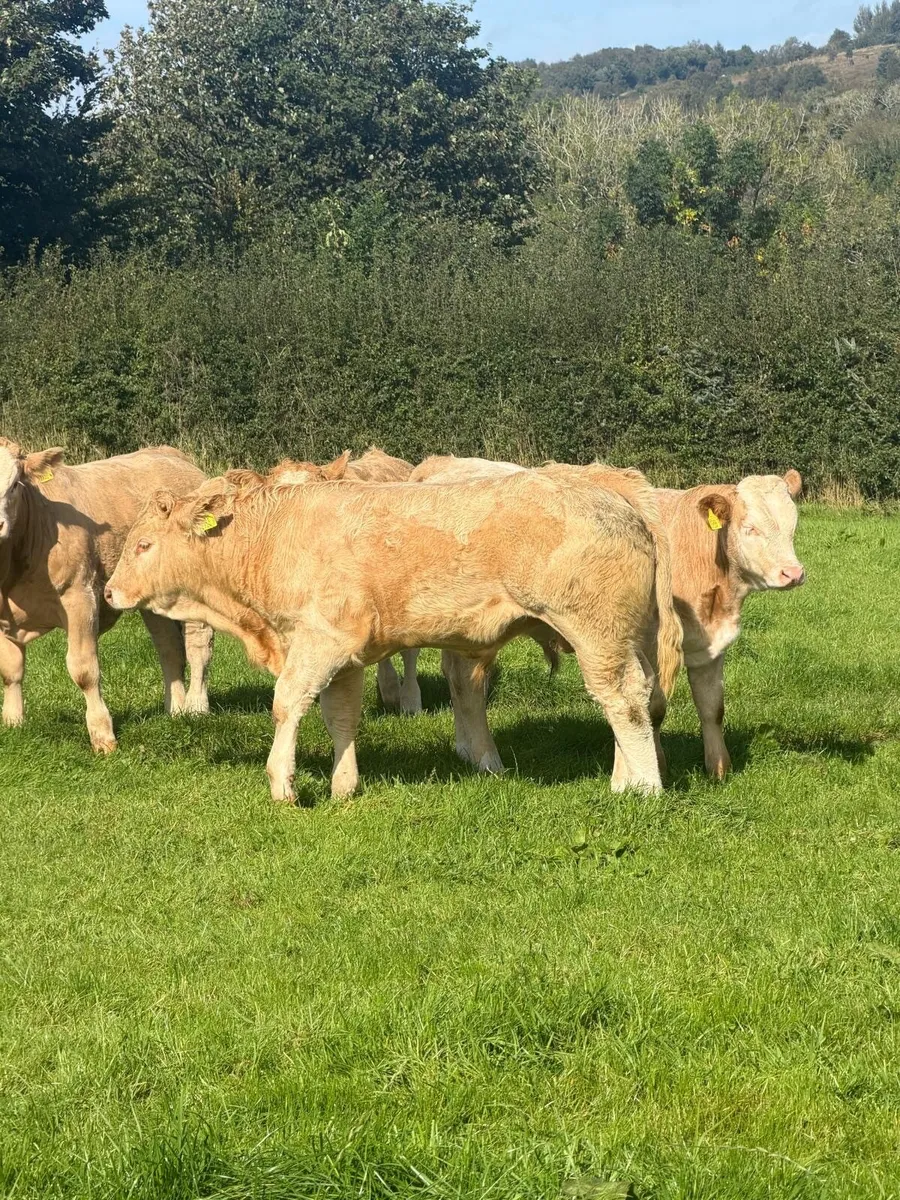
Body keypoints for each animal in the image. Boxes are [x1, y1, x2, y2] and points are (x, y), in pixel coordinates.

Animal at [0, 440, 213, 752]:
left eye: (15, 484)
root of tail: (172, 455)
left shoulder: (81, 596)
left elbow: (84, 670)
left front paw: (102, 734)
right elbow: (10, 670)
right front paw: (13, 722)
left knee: (198, 647)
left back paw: (197, 706)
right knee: (170, 648)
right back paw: (176, 709)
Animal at [105, 465, 682, 802]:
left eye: (143, 546)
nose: (109, 592)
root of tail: (615, 493)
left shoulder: (318, 640)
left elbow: (287, 703)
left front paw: (282, 784)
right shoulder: (346, 655)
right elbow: (341, 717)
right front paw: (343, 787)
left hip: (596, 632)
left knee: (622, 699)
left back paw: (643, 789)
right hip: (626, 636)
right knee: (641, 697)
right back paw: (625, 777)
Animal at [412, 455, 805, 779]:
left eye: (793, 526)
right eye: (750, 528)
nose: (793, 574)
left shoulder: (710, 646)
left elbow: (712, 708)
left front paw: (719, 770)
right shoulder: (646, 643)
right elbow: (653, 707)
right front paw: (657, 766)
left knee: (459, 679)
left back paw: (466, 749)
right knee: (467, 683)